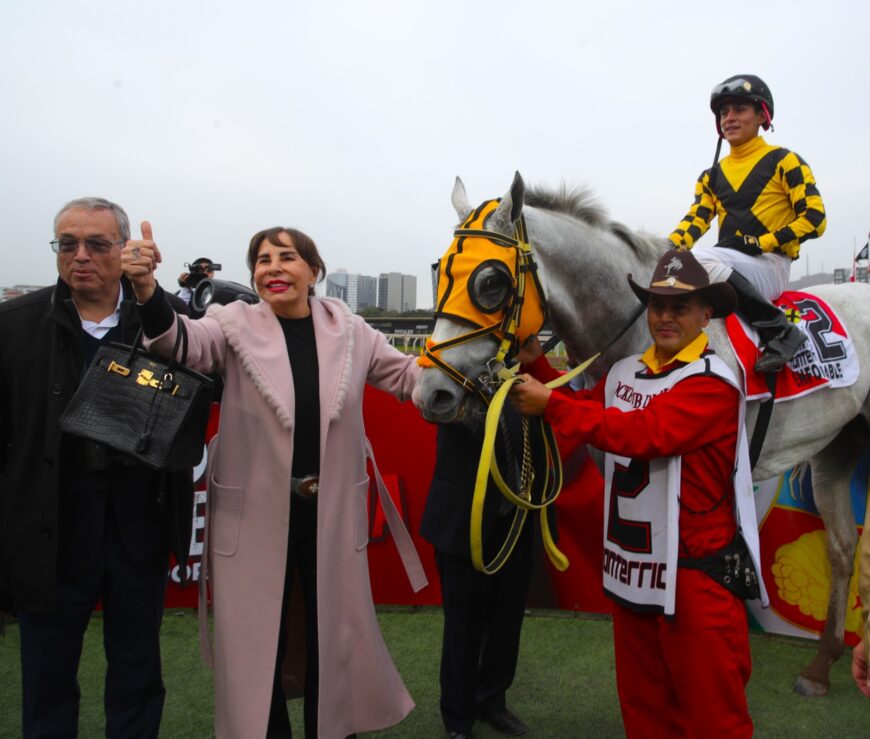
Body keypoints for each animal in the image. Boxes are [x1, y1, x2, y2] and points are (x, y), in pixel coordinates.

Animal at [416, 171, 870, 696]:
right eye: (440, 269)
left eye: (491, 281)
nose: (431, 393)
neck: (645, 337)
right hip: (838, 445)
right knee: (842, 547)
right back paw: (822, 664)